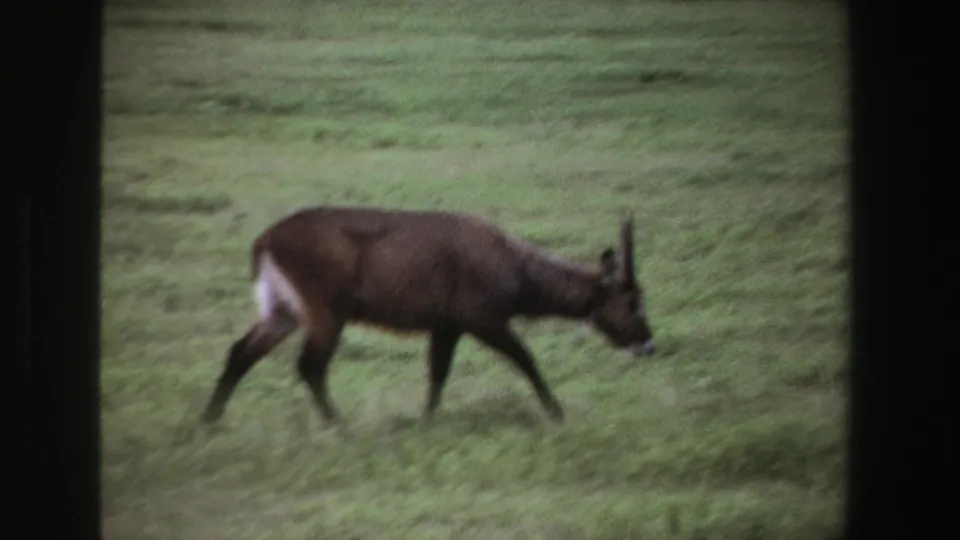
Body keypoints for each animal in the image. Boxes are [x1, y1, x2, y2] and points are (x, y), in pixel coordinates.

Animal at [201, 206, 655, 428]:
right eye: (633, 300)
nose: (649, 344)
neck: (513, 265)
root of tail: (266, 239)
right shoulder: (483, 320)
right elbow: (525, 359)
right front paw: (557, 413)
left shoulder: (446, 326)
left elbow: (437, 373)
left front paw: (427, 420)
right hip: (326, 311)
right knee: (309, 365)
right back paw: (340, 425)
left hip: (283, 311)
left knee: (240, 351)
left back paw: (209, 422)